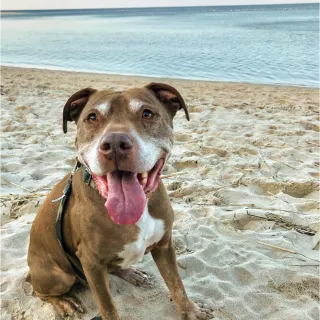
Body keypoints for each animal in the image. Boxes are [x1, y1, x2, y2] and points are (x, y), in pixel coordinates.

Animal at [27, 83, 212, 320]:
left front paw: (190, 310)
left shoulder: (164, 245)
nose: (115, 143)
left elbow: (176, 284)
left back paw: (131, 273)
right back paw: (63, 303)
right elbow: (108, 306)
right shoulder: (92, 263)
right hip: (58, 276)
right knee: (39, 292)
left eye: (147, 113)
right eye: (92, 117)